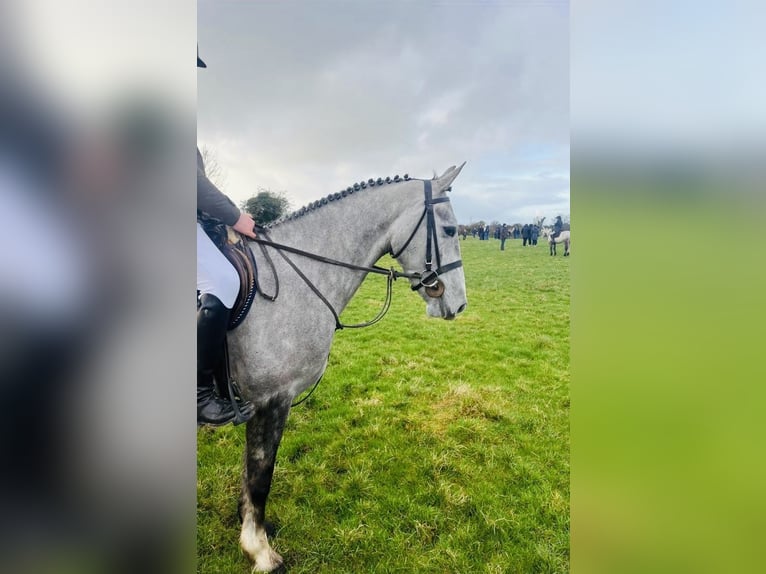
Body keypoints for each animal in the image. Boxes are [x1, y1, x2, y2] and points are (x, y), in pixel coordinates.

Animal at [222, 164, 468, 572]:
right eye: (449, 231)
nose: (460, 304)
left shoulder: (258, 405)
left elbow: (248, 471)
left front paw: (251, 526)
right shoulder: (271, 399)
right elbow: (260, 473)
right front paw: (259, 550)